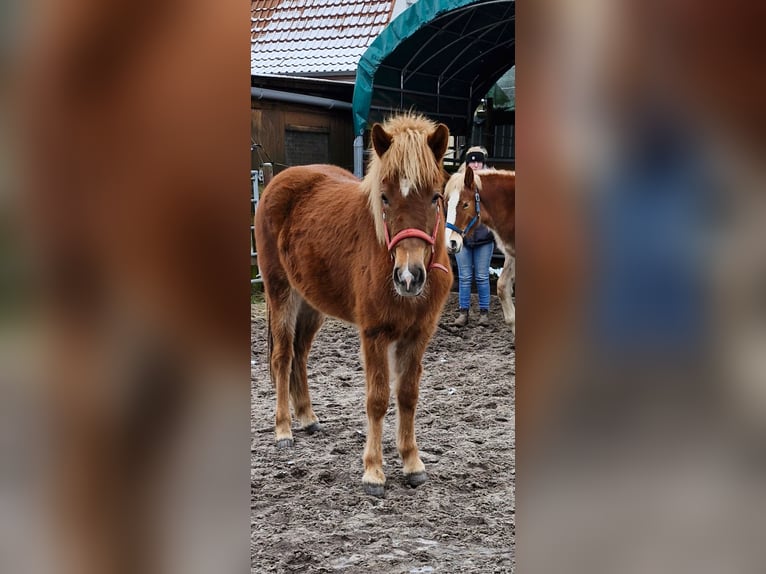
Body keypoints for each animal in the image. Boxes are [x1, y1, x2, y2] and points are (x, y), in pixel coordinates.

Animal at [254, 113, 456, 500]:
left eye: (436, 197)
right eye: (385, 198)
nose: (409, 277)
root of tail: (277, 181)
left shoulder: (418, 335)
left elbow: (407, 395)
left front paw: (412, 463)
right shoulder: (375, 333)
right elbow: (377, 399)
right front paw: (374, 472)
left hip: (311, 303)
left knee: (300, 353)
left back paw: (308, 418)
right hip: (281, 292)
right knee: (283, 356)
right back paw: (284, 429)